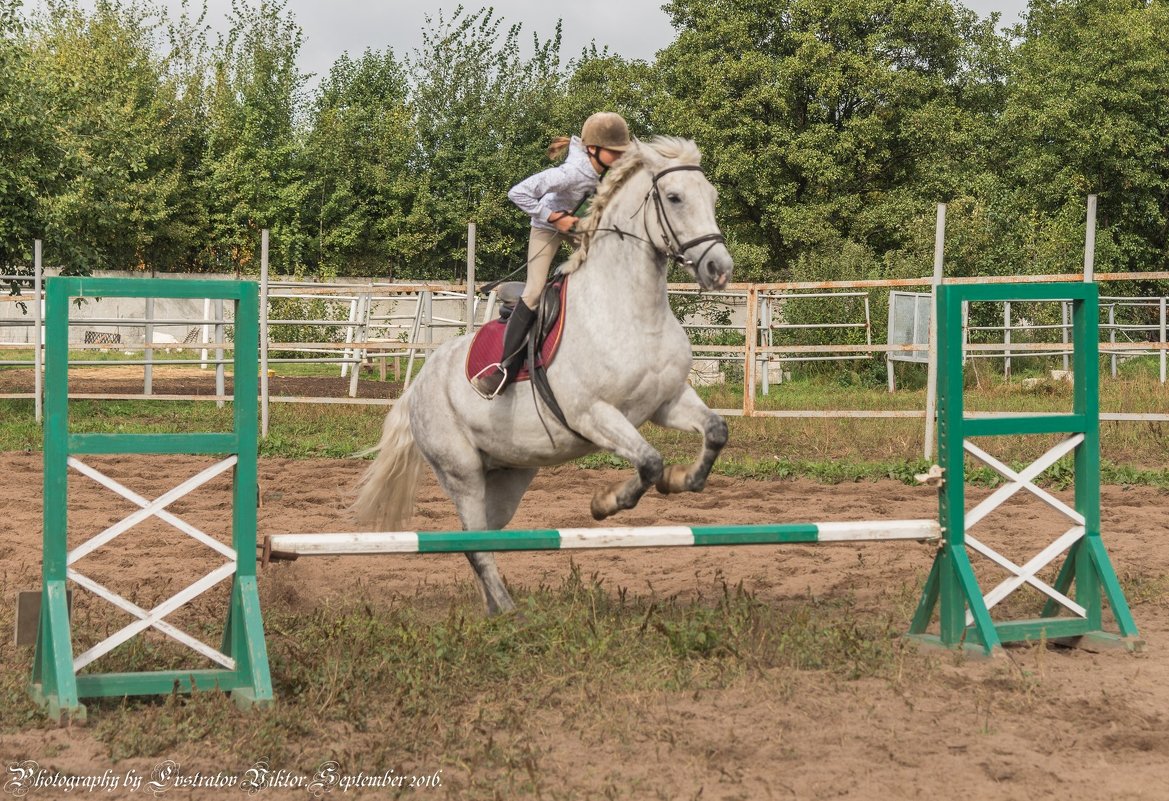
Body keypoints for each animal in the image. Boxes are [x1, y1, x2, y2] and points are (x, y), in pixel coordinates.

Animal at [355, 135, 734, 612]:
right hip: (461, 473)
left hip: (508, 474)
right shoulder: (594, 414)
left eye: (713, 198)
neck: (631, 309)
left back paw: (493, 608)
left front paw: (681, 480)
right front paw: (606, 503)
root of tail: (415, 388)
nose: (720, 269)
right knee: (476, 545)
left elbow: (715, 431)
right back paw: (508, 613)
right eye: (674, 197)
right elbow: (648, 461)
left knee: (480, 541)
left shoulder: (666, 402)